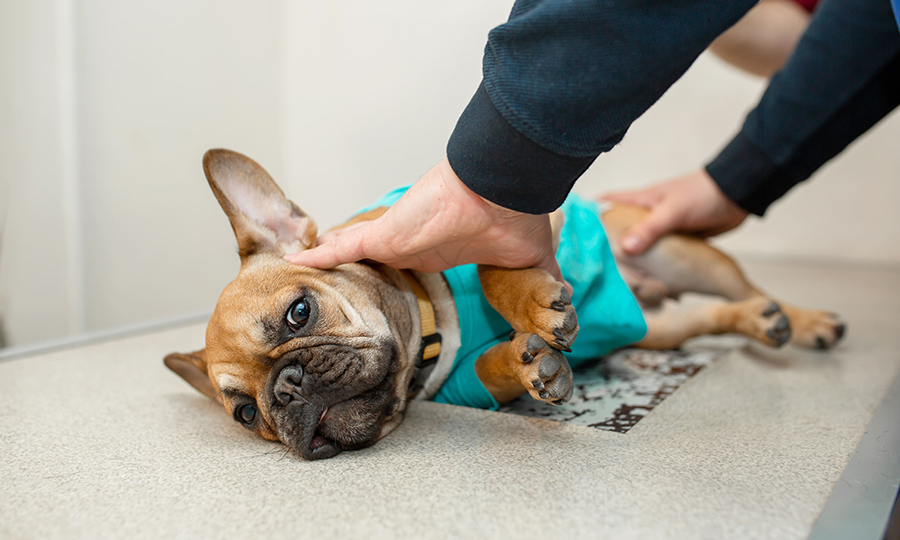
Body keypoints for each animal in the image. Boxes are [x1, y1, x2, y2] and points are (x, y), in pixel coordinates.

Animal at [165, 149, 848, 460]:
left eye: (299, 314)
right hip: (656, 327)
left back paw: (805, 319)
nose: (286, 390)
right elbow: (491, 367)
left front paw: (534, 306)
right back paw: (762, 323)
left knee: (746, 285)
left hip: (680, 253)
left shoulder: (492, 225)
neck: (429, 330)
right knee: (711, 316)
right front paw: (532, 363)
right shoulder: (465, 386)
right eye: (245, 416)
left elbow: (497, 264)